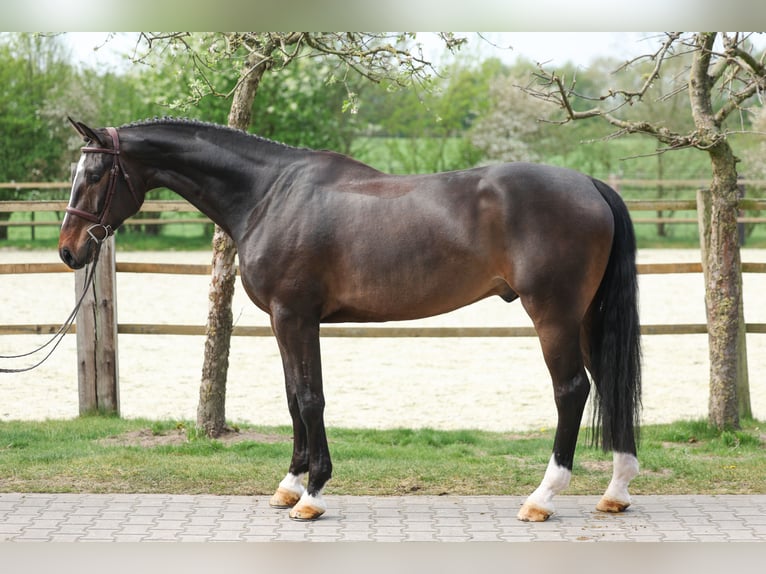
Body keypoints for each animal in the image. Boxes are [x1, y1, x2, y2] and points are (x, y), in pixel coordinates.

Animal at [59, 117, 641, 522]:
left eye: (94, 175)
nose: (68, 250)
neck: (269, 195)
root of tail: (590, 184)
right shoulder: (286, 322)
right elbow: (293, 397)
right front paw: (290, 485)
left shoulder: (295, 317)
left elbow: (310, 398)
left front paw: (313, 494)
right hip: (585, 318)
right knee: (610, 384)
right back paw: (615, 491)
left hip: (553, 315)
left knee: (572, 389)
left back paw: (542, 497)